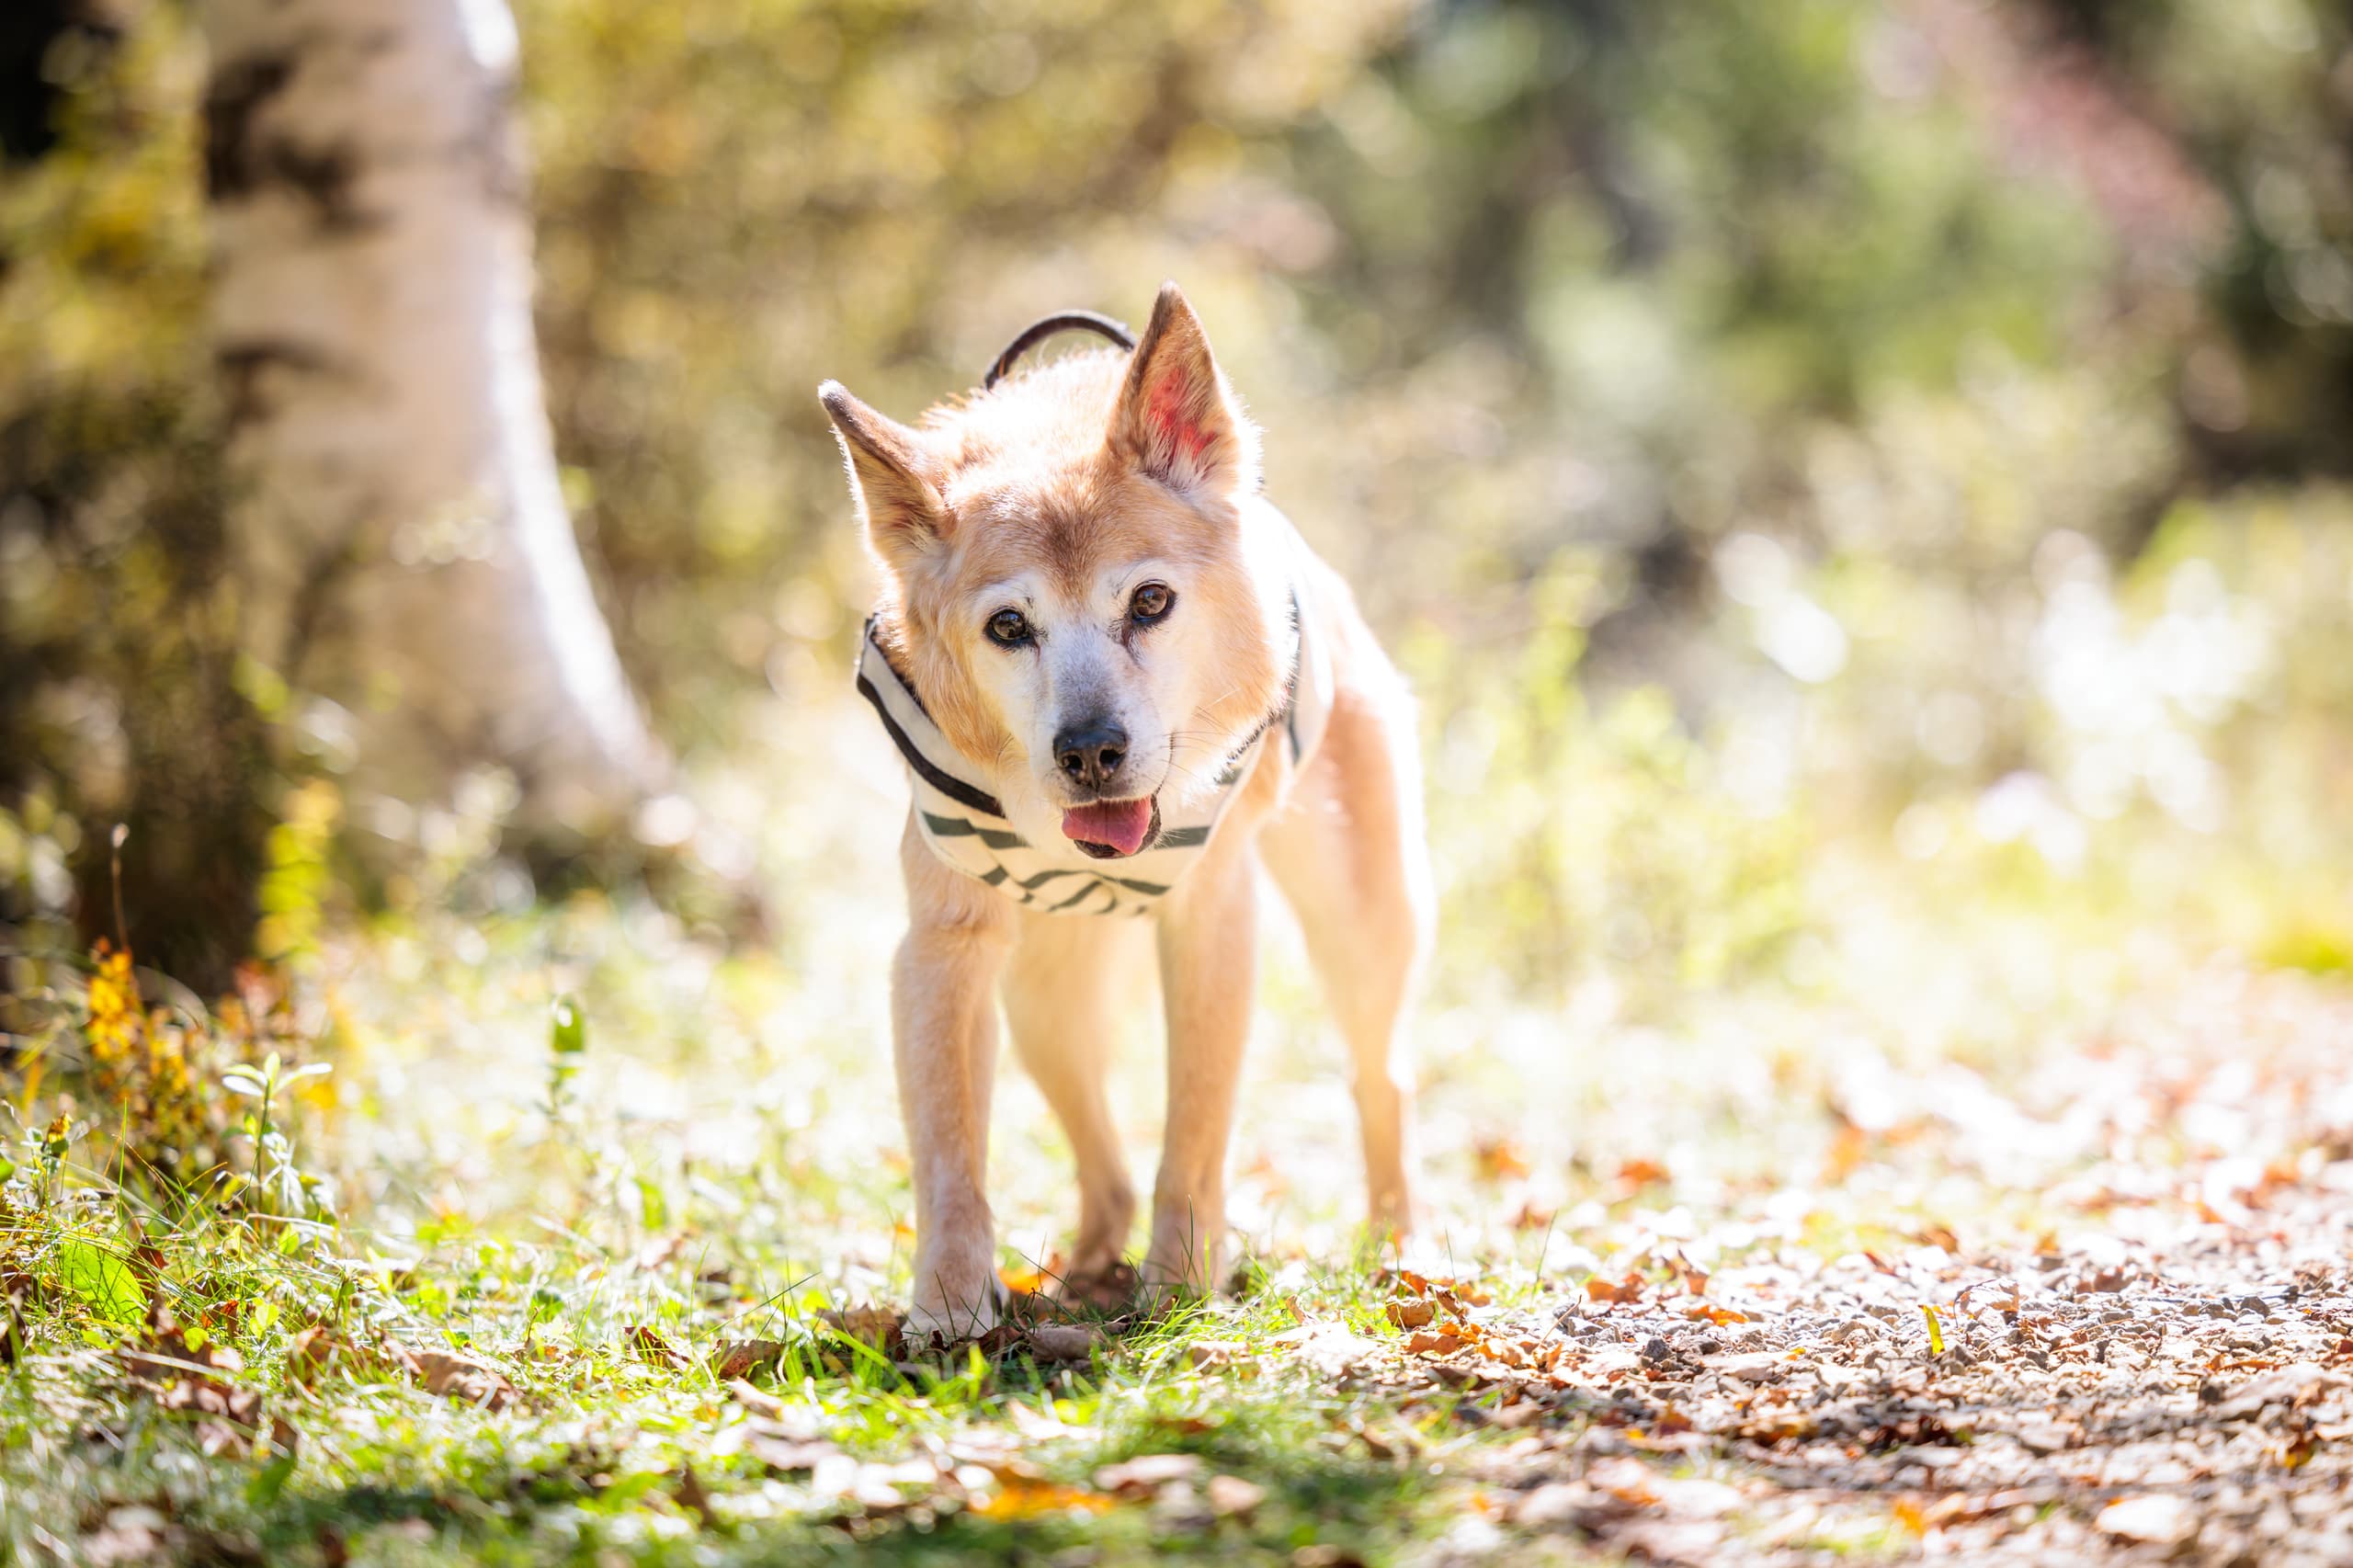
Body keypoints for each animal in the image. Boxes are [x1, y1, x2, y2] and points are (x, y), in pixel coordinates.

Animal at [809, 278, 1430, 1327]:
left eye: (1148, 603)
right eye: (1008, 627)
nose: (1091, 752)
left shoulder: (1212, 926)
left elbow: (1194, 1135)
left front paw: (1180, 1283)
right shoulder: (944, 948)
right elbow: (948, 1152)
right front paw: (949, 1307)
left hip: (1361, 935)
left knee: (1378, 1079)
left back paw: (1394, 1243)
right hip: (1042, 1005)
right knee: (1102, 1159)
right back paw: (1085, 1267)